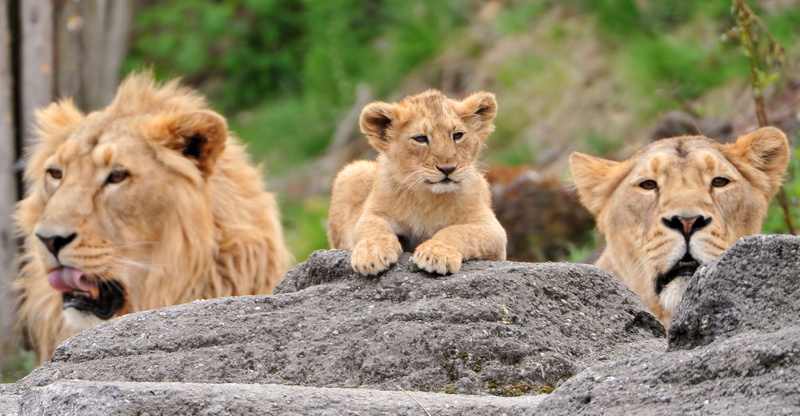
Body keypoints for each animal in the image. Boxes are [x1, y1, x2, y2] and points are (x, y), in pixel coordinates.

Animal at [327, 89, 507, 275]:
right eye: (421, 138)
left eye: (457, 135)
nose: (448, 169)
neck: (427, 198)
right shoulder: (373, 213)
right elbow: (372, 227)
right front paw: (372, 254)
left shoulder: (492, 229)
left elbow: (457, 232)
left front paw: (436, 254)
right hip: (352, 171)